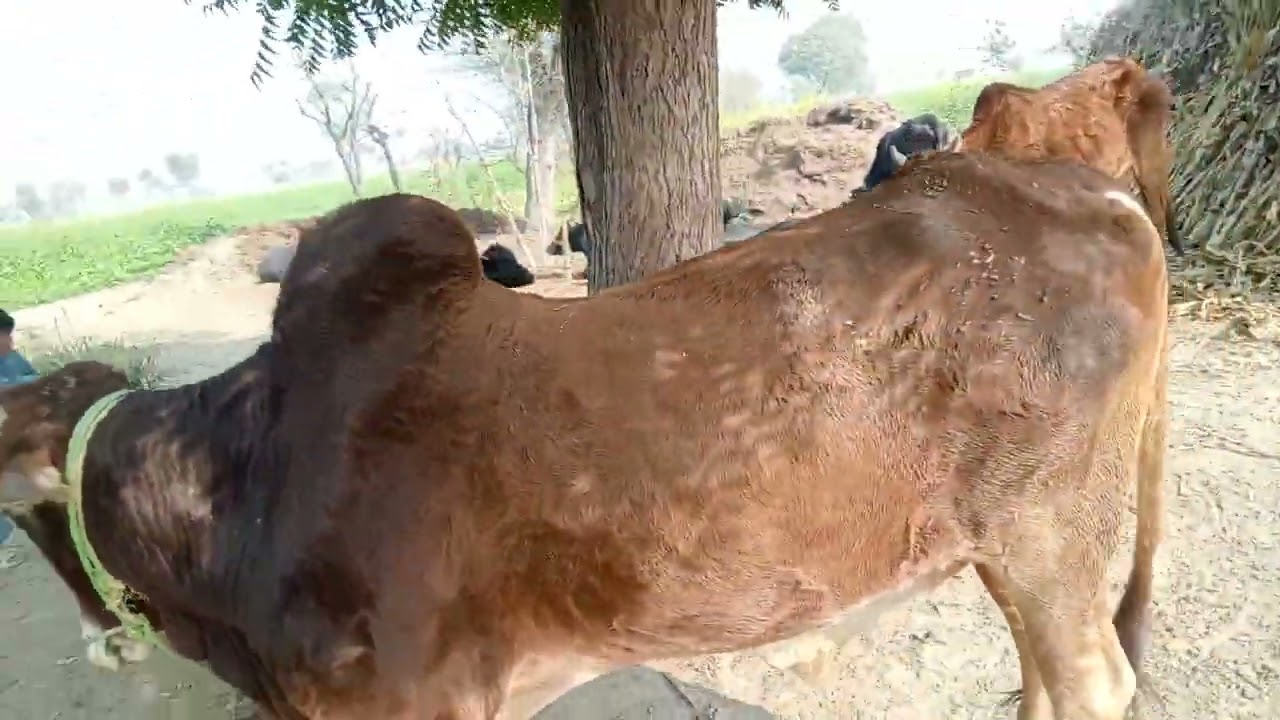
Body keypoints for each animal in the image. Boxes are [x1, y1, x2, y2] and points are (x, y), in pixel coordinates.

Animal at [0, 151, 1169, 720]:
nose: (100, 641)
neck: (233, 485)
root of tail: (1096, 188)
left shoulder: (401, 705)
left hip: (1048, 531)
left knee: (1093, 684)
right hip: (1004, 547)